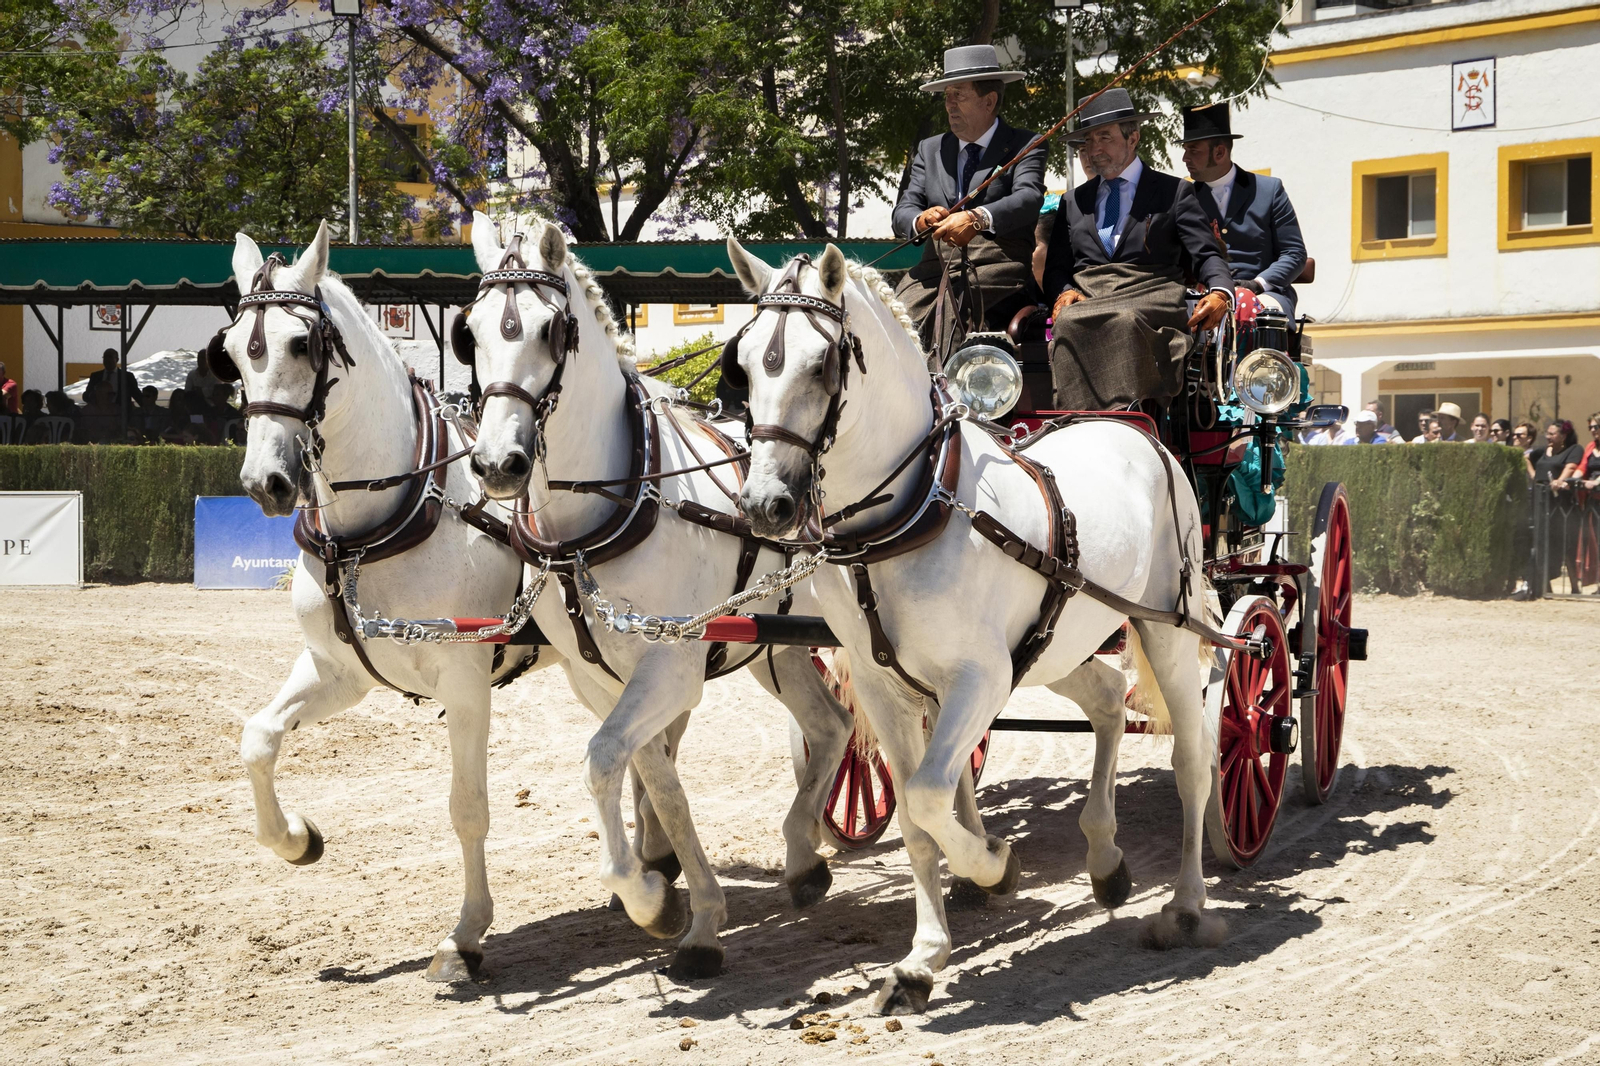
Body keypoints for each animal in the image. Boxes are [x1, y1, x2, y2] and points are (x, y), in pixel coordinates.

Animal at [225, 221, 548, 983]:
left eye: (301, 344)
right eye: (232, 351)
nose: (265, 482)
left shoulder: (466, 683)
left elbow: (467, 808)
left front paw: (464, 937)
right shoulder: (338, 671)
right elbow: (258, 739)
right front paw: (296, 839)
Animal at [462, 213, 857, 980]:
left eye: (551, 330)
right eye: (470, 332)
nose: (497, 464)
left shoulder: (672, 667)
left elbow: (604, 762)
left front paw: (651, 898)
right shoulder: (600, 676)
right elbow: (653, 779)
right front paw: (684, 909)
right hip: (777, 647)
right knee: (831, 726)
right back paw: (802, 860)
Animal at [722, 238, 1224, 1014]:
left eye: (822, 364)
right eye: (744, 363)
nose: (765, 504)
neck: (908, 518)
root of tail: (1133, 429)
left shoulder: (980, 679)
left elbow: (931, 795)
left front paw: (991, 864)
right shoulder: (885, 687)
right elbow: (913, 814)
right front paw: (922, 957)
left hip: (1169, 628)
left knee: (1193, 760)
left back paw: (1189, 906)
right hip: (1058, 644)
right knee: (1109, 700)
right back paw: (1106, 858)